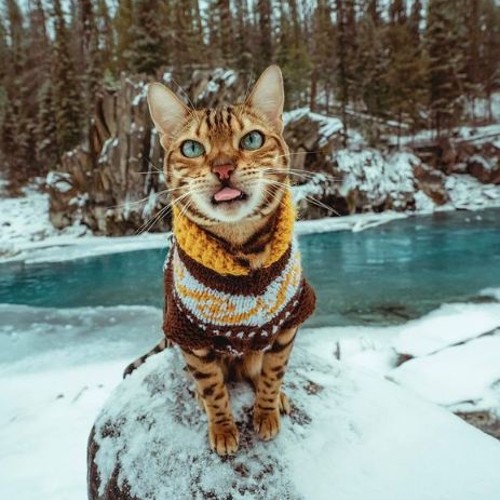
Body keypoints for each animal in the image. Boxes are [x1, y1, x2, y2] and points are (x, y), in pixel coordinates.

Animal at [123, 66, 314, 458]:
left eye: (253, 139)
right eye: (192, 148)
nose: (223, 168)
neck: (243, 249)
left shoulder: (289, 321)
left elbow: (273, 373)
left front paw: (267, 411)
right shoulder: (189, 335)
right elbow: (212, 388)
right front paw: (223, 428)